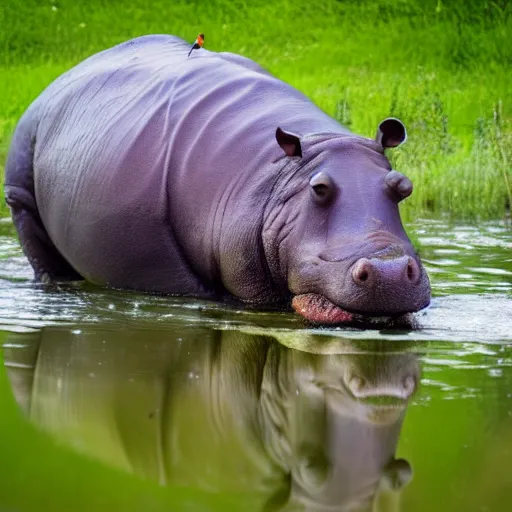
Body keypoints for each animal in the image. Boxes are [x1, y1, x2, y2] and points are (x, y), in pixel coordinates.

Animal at [4, 34, 430, 324]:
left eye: (403, 186)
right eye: (319, 188)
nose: (390, 272)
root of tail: (59, 80)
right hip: (18, 195)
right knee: (44, 259)